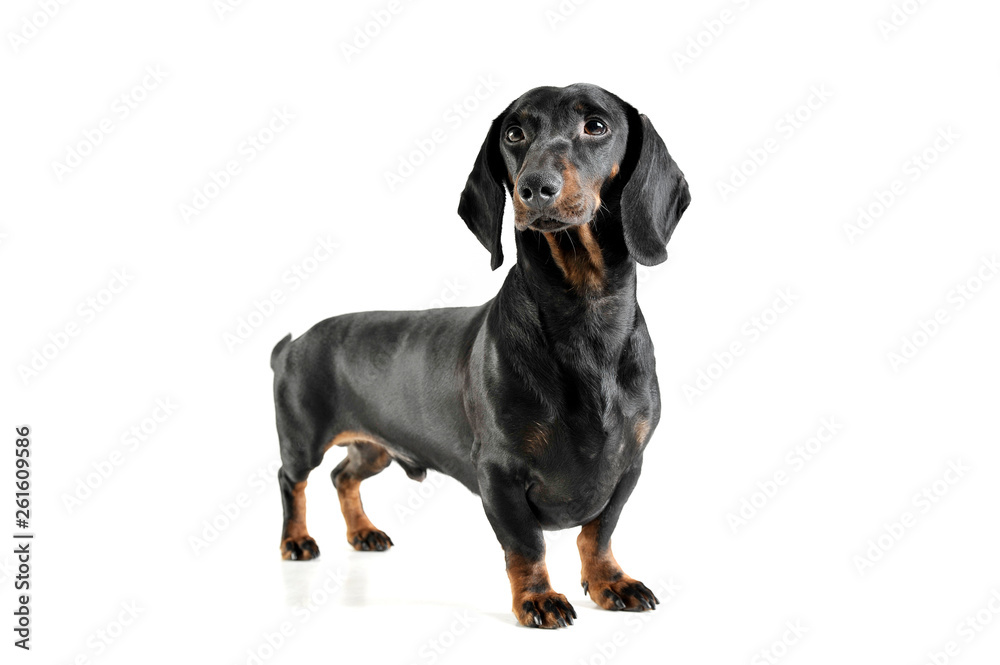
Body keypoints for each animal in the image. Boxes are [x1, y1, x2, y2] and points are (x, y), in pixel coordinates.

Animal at [270, 83, 692, 628]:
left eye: (596, 126)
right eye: (514, 133)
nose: (535, 188)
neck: (584, 317)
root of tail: (294, 342)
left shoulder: (628, 465)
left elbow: (599, 533)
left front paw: (609, 583)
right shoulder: (499, 471)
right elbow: (526, 545)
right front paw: (538, 598)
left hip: (375, 448)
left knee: (344, 476)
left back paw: (363, 531)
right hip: (303, 438)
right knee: (292, 480)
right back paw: (297, 540)